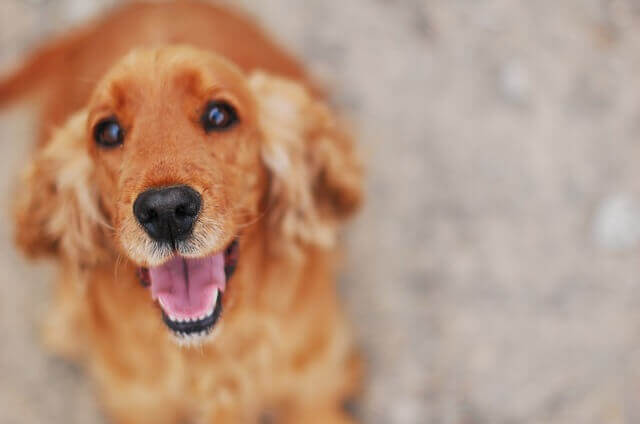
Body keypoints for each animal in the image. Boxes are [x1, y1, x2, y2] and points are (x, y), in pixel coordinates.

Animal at [0, 1, 362, 422]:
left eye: (219, 115)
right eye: (107, 131)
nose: (166, 210)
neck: (208, 355)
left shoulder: (313, 391)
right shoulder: (140, 405)